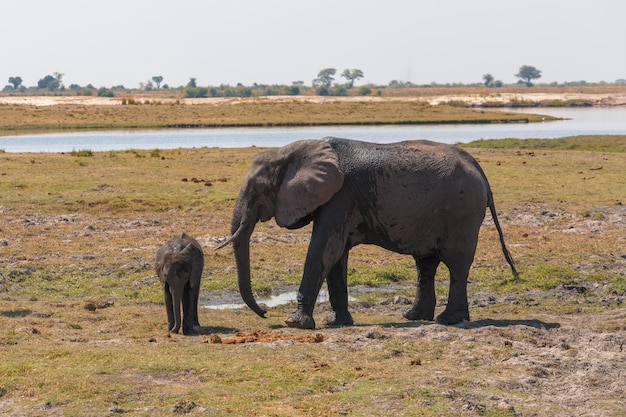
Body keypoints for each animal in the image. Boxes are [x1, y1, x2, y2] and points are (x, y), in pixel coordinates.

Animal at [216, 137, 516, 328]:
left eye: (256, 190)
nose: (265, 313)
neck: (294, 151)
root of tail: (479, 168)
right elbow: (336, 256)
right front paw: (336, 323)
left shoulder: (340, 196)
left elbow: (325, 249)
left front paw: (295, 323)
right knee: (425, 263)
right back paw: (414, 316)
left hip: (461, 212)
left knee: (456, 264)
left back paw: (448, 320)